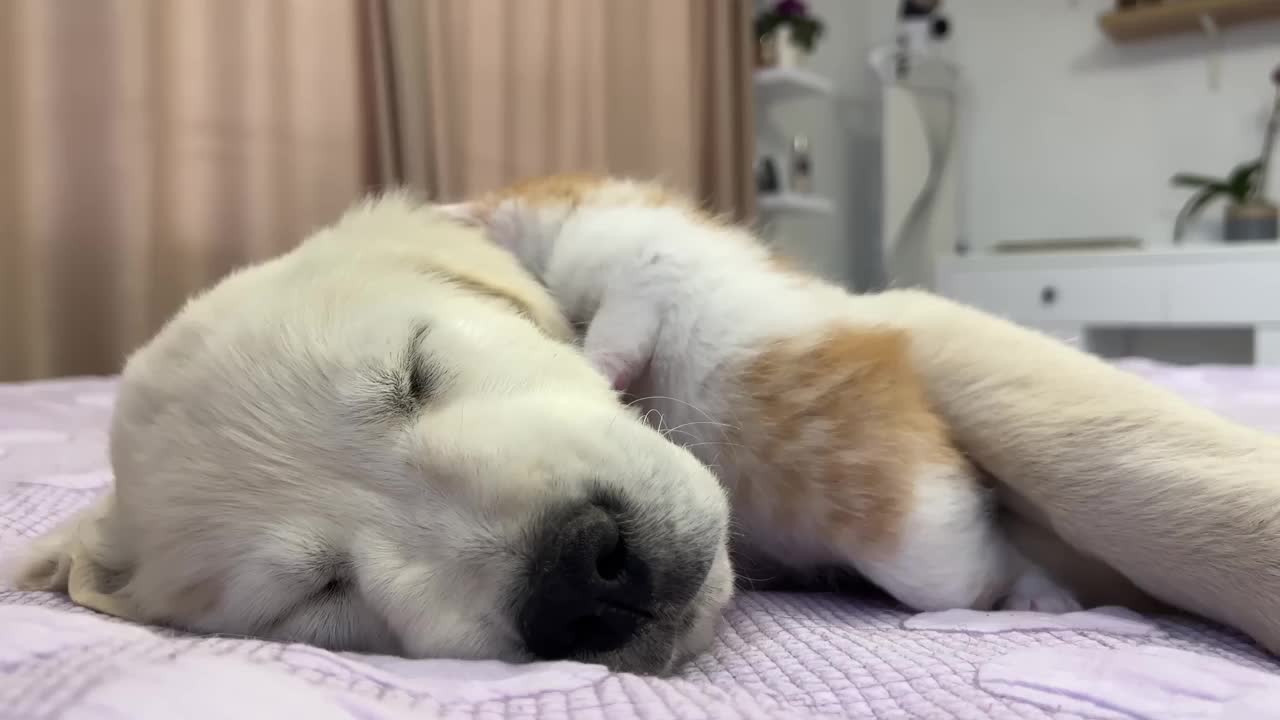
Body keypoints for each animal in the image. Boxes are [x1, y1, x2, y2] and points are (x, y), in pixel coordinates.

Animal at [440, 175, 1080, 609]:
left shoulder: (644, 278)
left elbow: (615, 341)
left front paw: (592, 367)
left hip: (929, 555)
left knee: (998, 568)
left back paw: (1044, 597)